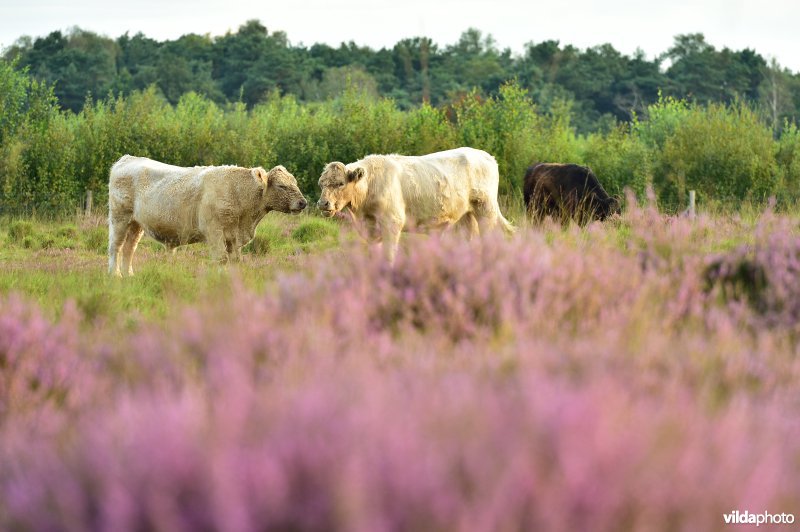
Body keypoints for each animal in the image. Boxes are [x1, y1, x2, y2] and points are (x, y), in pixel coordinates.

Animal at [112, 156, 310, 276]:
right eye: (282, 186)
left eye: (295, 182)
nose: (303, 202)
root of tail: (128, 159)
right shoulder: (214, 231)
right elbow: (221, 259)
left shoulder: (233, 237)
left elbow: (235, 260)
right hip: (119, 218)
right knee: (116, 247)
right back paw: (115, 275)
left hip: (136, 224)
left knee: (129, 248)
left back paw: (129, 275)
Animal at [318, 147, 512, 262]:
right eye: (321, 184)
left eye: (340, 183)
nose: (322, 203)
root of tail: (485, 155)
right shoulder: (370, 228)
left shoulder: (392, 223)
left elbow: (389, 256)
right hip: (466, 214)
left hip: (486, 209)